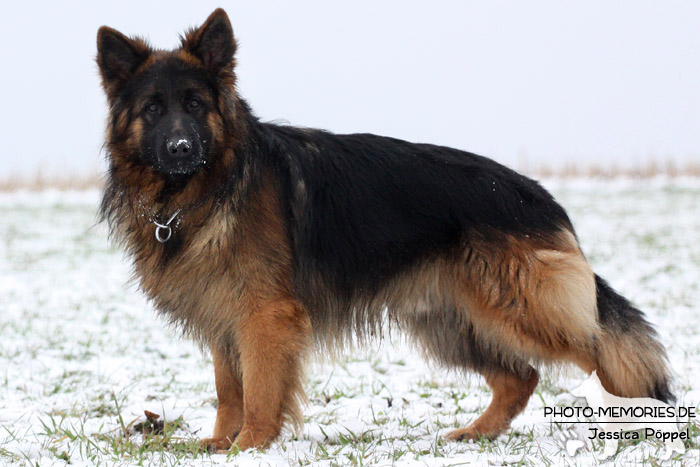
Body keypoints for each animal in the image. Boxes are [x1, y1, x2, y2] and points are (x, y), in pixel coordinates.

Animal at [97, 8, 672, 454]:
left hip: (521, 309)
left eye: (195, 105)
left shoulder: (264, 316)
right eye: (153, 109)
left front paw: (251, 446)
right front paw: (220, 442)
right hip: (453, 323)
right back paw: (476, 435)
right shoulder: (223, 313)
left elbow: (258, 390)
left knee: (605, 352)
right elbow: (228, 388)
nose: (180, 149)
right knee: (522, 377)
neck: (207, 188)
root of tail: (539, 197)